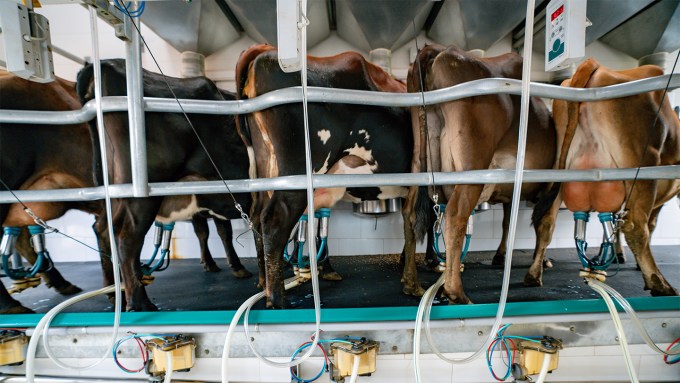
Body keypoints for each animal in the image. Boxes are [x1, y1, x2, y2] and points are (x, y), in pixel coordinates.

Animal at [234, 44, 414, 308]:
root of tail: (265, 50)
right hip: (296, 171)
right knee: (274, 219)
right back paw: (277, 300)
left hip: (267, 167)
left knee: (257, 218)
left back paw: (263, 283)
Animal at [402, 44, 556, 304]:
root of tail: (436, 50)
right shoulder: (555, 184)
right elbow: (544, 224)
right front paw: (536, 272)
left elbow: (507, 222)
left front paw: (502, 255)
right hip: (472, 165)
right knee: (455, 215)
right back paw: (456, 292)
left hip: (419, 162)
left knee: (411, 214)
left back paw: (413, 284)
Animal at [540, 58, 676, 296]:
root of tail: (596, 65)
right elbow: (649, 225)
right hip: (645, 164)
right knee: (636, 227)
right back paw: (660, 284)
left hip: (558, 170)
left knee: (547, 219)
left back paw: (534, 274)